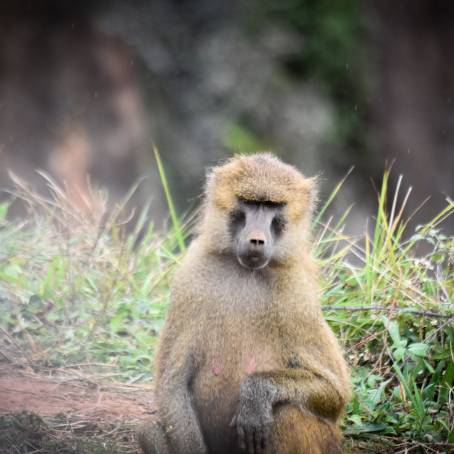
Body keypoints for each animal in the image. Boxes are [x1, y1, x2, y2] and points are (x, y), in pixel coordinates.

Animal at [138, 153, 352, 454]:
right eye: (249, 202)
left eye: (272, 205)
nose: (257, 240)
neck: (246, 272)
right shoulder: (190, 279)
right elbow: (173, 385)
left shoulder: (299, 298)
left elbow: (334, 391)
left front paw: (255, 393)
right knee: (148, 430)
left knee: (286, 412)